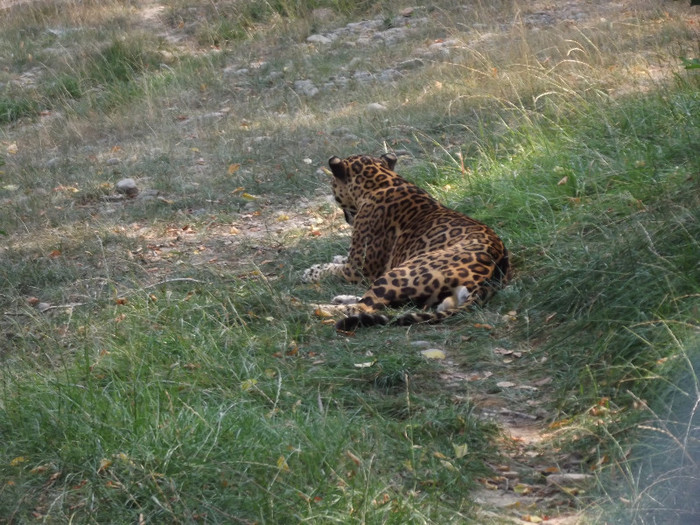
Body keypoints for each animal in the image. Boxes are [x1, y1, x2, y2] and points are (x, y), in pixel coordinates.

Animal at [304, 152, 512, 332]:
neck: (380, 183)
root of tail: (492, 277)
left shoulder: (358, 268)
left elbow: (333, 269)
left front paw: (311, 272)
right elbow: (340, 261)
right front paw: (335, 258)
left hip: (401, 272)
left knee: (364, 307)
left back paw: (314, 308)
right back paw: (339, 299)